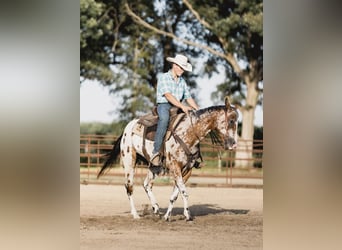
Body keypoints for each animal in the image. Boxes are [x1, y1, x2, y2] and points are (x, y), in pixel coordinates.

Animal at [97, 97, 239, 221]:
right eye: (231, 121)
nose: (233, 144)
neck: (188, 132)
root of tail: (127, 129)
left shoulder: (187, 170)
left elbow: (176, 194)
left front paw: (169, 216)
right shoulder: (175, 166)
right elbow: (184, 191)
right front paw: (187, 216)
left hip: (154, 166)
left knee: (146, 184)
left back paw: (156, 208)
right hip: (129, 162)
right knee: (129, 187)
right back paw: (136, 214)